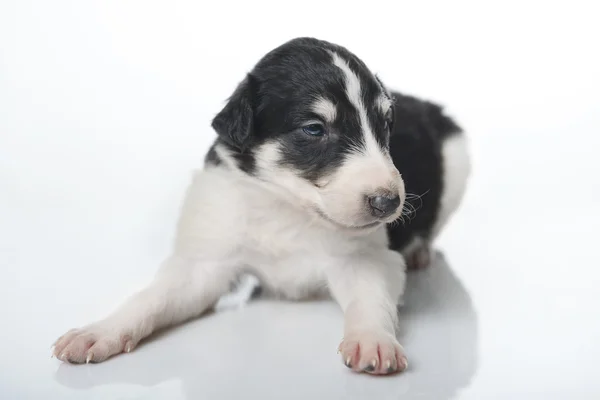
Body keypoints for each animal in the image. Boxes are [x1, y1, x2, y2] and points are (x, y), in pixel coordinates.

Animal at [51, 37, 472, 376]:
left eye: (385, 125)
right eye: (314, 129)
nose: (389, 203)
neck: (287, 206)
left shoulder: (365, 258)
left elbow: (370, 300)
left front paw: (372, 341)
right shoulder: (207, 258)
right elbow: (151, 298)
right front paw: (99, 332)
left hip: (457, 155)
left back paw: (419, 251)